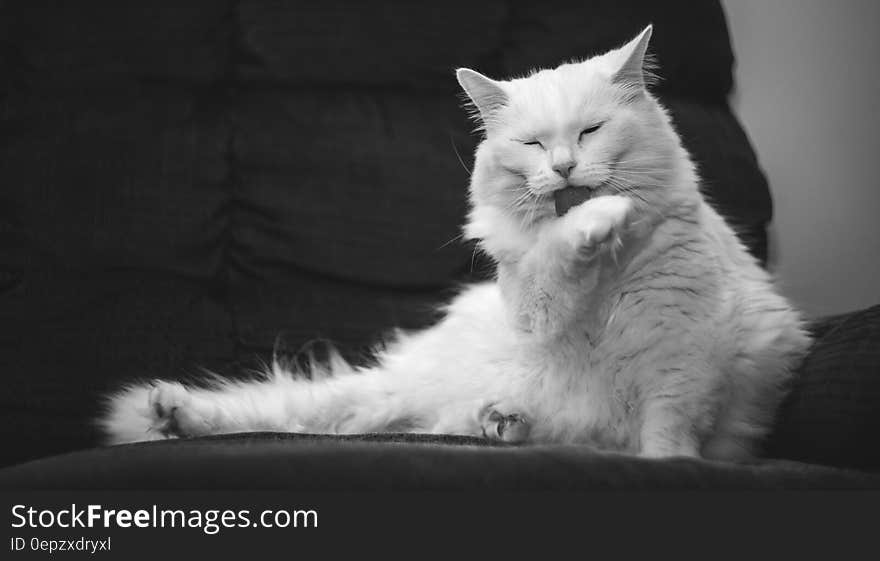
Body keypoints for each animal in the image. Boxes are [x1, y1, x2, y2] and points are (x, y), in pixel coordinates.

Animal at [101, 26, 812, 460]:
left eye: (590, 132)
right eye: (533, 144)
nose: (563, 168)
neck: (607, 282)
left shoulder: (683, 358)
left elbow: (667, 438)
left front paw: (667, 465)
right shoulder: (537, 308)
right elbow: (554, 260)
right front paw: (591, 222)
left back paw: (502, 422)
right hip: (383, 395)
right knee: (294, 415)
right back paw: (170, 414)